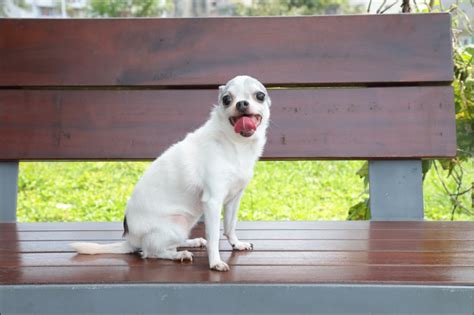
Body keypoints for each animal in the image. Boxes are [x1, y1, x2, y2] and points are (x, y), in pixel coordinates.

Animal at [70, 76, 270, 272]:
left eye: (259, 95)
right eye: (227, 99)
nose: (241, 103)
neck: (237, 144)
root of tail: (130, 239)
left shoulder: (233, 200)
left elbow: (230, 226)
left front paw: (237, 244)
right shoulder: (213, 202)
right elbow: (214, 236)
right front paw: (215, 262)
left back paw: (191, 242)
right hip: (177, 224)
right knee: (151, 252)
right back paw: (179, 254)